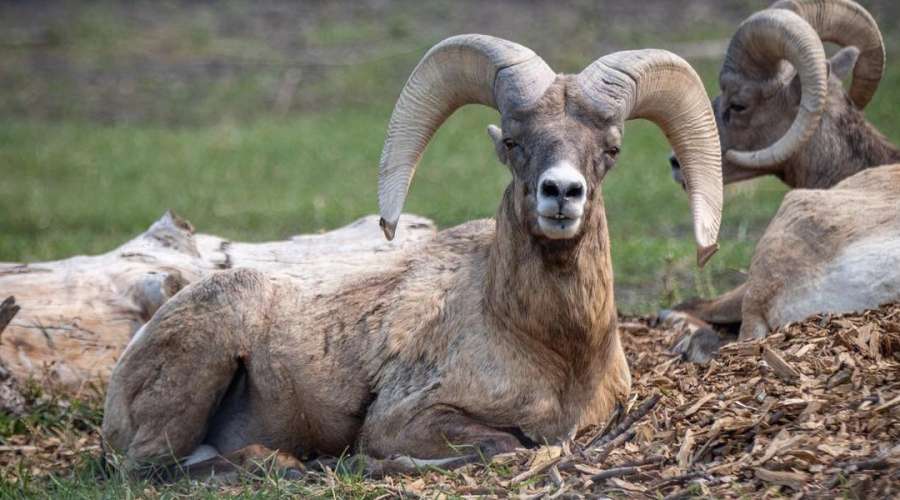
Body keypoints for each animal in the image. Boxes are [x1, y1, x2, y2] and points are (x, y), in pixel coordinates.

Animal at [101, 34, 723, 476]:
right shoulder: (407, 419)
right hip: (200, 367)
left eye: (610, 150)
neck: (553, 350)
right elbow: (503, 444)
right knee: (150, 469)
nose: (561, 193)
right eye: (513, 143)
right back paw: (284, 464)